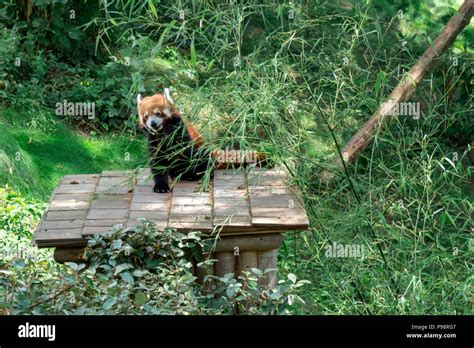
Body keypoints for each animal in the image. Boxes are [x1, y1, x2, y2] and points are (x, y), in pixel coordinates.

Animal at [137, 87, 266, 193]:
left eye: (158, 113)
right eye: (146, 117)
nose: (153, 124)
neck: (161, 133)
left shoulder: (181, 130)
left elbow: (184, 150)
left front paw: (170, 130)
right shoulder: (153, 141)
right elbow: (158, 164)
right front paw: (161, 186)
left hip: (202, 152)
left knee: (200, 161)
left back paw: (196, 174)